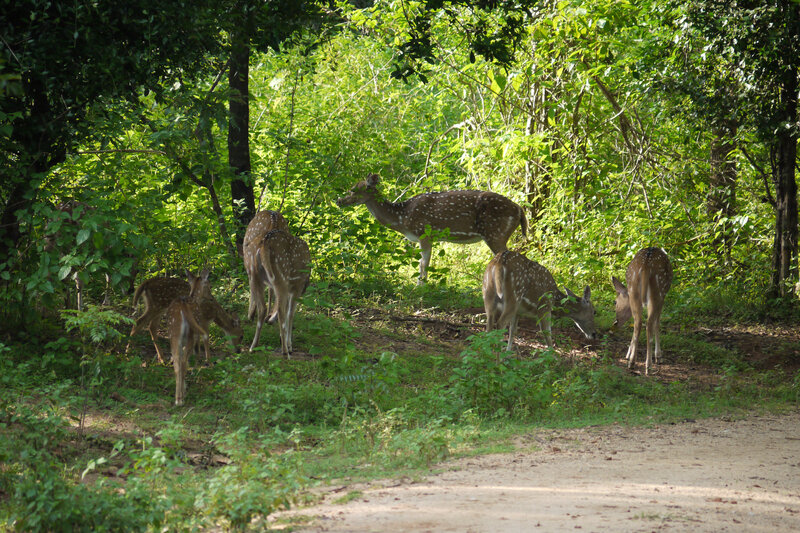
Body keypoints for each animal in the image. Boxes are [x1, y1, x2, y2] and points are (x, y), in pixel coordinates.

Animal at [336, 173, 528, 283]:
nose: (339, 201)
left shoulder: (424, 232)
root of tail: (520, 210)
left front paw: (421, 286)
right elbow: (424, 263)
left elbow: (423, 263)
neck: (402, 217)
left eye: (353, 189)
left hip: (495, 232)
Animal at [612, 247, 673, 375]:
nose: (615, 323)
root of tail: (646, 266)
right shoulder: (663, 298)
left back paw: (631, 362)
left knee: (638, 322)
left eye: (615, 302)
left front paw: (627, 355)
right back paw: (648, 366)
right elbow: (657, 323)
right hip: (658, 290)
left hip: (634, 289)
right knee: (649, 323)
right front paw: (659, 356)